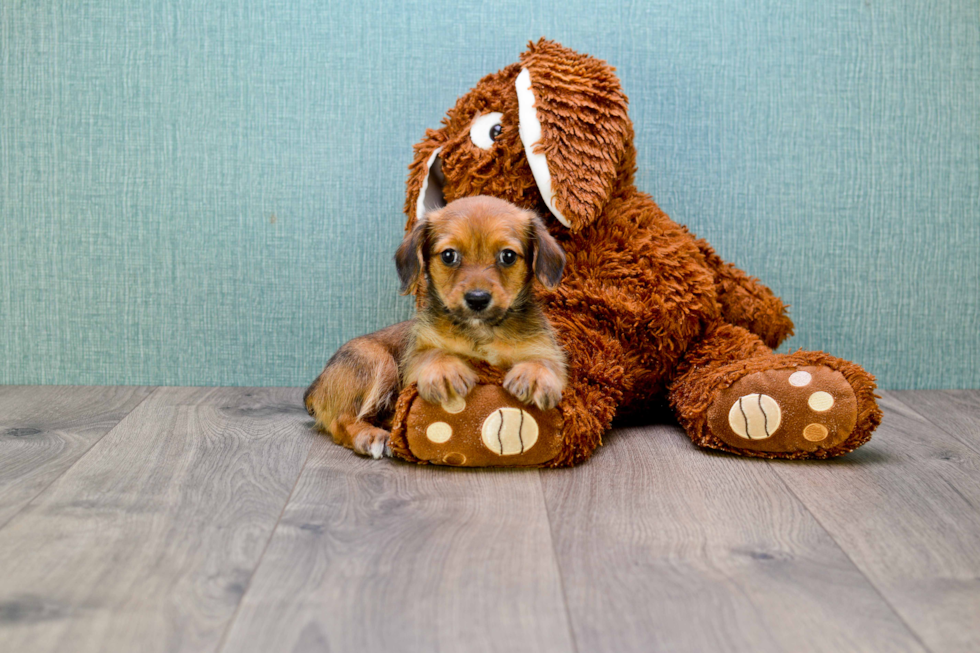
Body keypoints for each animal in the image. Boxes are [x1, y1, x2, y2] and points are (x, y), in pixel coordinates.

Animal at [304, 196, 568, 456]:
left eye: (508, 256)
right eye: (449, 255)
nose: (477, 299)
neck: (481, 330)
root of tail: (315, 387)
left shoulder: (546, 351)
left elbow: (544, 361)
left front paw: (534, 375)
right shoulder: (416, 357)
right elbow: (433, 353)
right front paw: (445, 370)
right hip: (375, 359)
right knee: (341, 420)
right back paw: (369, 436)